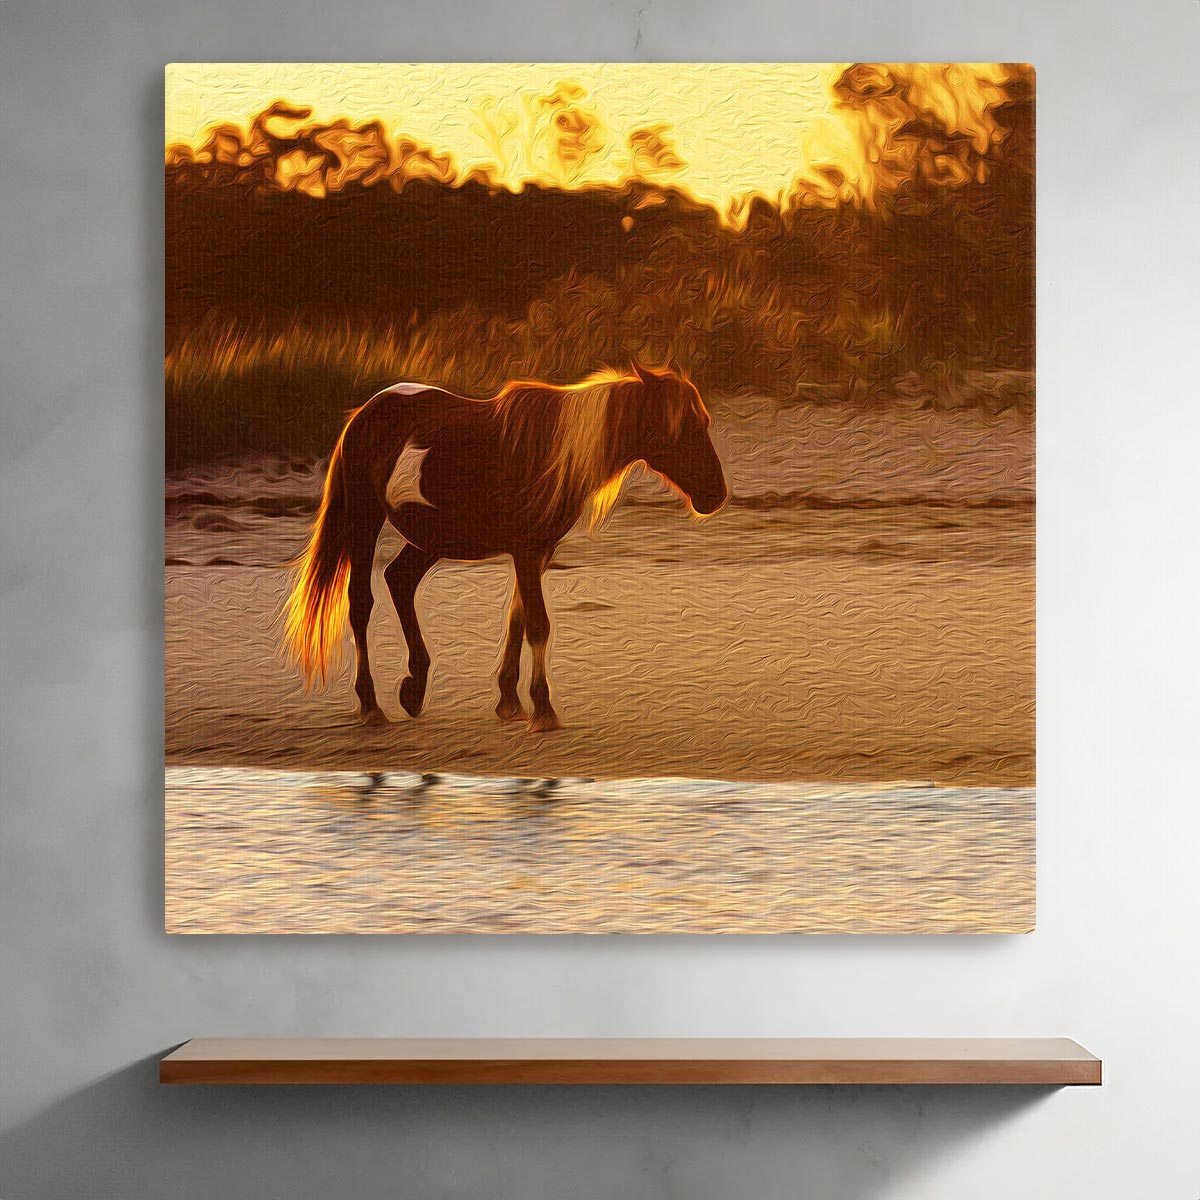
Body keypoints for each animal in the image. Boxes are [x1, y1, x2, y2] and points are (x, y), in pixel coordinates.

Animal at [285, 360, 724, 729]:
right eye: (684, 428)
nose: (716, 496)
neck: (550, 452)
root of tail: (365, 413)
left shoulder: (537, 551)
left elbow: (518, 618)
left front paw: (510, 700)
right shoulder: (527, 551)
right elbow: (539, 625)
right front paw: (543, 708)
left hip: (435, 537)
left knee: (400, 579)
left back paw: (414, 687)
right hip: (365, 519)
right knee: (361, 602)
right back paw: (371, 703)